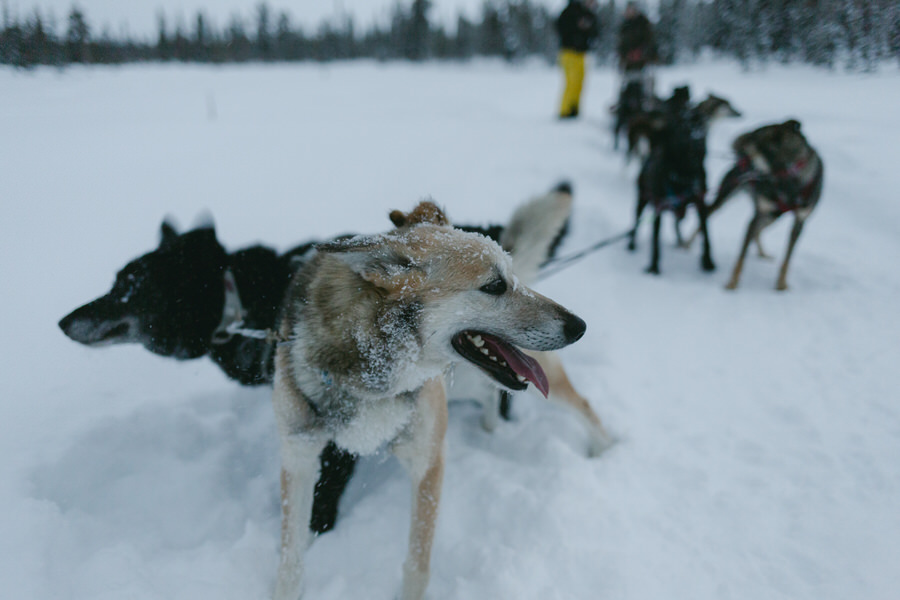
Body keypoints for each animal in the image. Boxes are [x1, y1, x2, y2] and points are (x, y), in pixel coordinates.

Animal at [270, 202, 588, 600]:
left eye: (511, 277)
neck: (373, 373)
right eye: (495, 286)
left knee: (583, 405)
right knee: (489, 394)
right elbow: (290, 562)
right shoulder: (299, 457)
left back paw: (607, 445)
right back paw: (490, 426)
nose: (579, 326)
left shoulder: (428, 458)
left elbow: (417, 567)